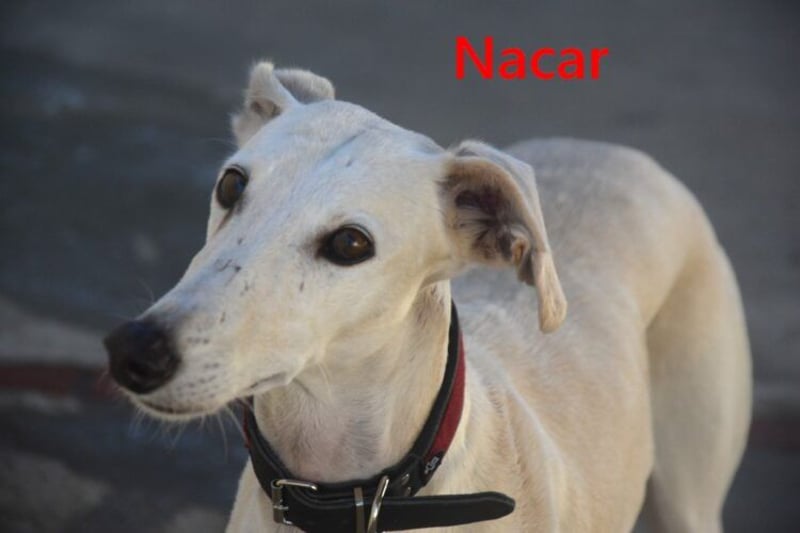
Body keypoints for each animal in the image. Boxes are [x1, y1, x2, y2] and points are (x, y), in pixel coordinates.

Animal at [104, 62, 751, 532]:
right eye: (231, 184)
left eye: (350, 243)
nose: (135, 351)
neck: (358, 496)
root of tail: (616, 151)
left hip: (692, 496)